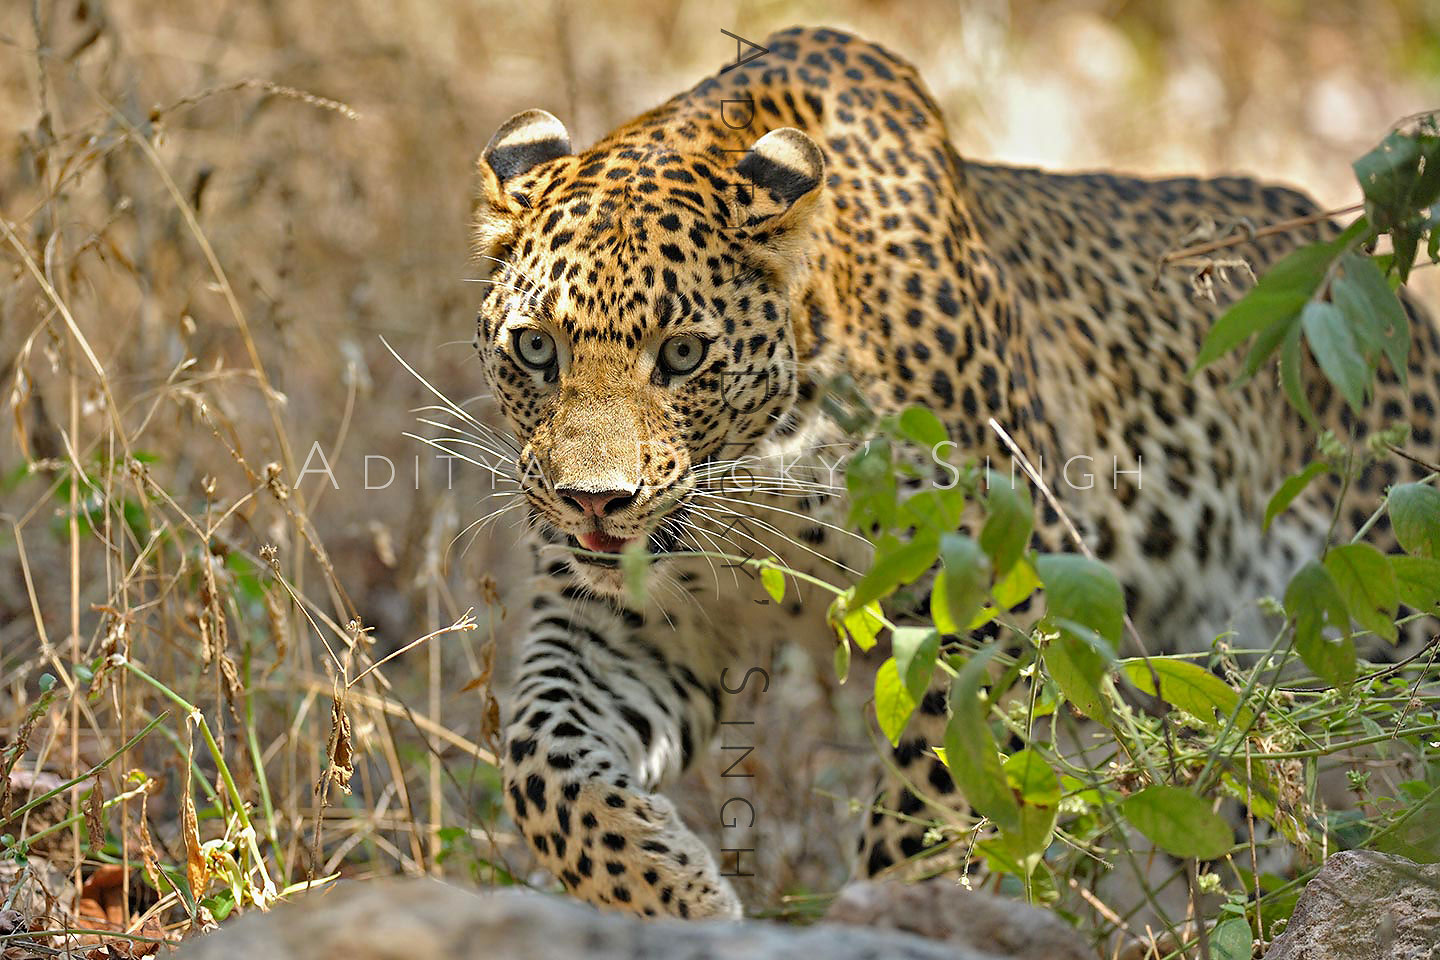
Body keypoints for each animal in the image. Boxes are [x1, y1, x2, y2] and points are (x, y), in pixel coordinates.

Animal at [465, 25, 1440, 921]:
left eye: (683, 354)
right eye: (536, 348)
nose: (593, 503)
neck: (764, 470)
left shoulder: (993, 605)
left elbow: (939, 801)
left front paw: (905, 909)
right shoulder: (632, 625)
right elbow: (541, 760)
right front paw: (678, 897)